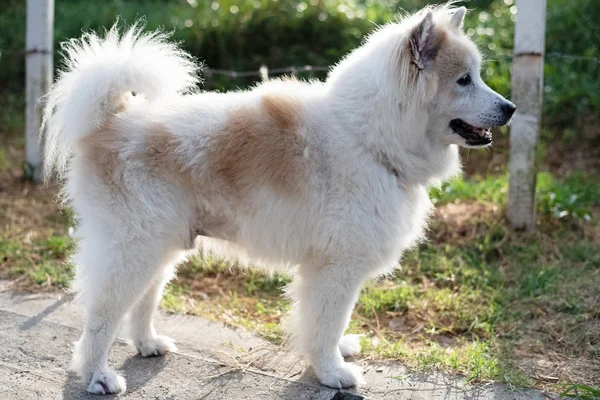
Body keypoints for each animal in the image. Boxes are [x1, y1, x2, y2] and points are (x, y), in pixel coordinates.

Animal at [41, 3, 516, 394]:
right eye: (463, 80)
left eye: (478, 76)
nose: (510, 108)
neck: (367, 138)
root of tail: (111, 122)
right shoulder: (334, 268)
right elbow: (325, 325)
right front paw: (332, 372)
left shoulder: (333, 269)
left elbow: (328, 324)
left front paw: (338, 354)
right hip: (134, 248)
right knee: (100, 318)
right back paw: (97, 376)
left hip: (163, 245)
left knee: (142, 302)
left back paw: (148, 343)